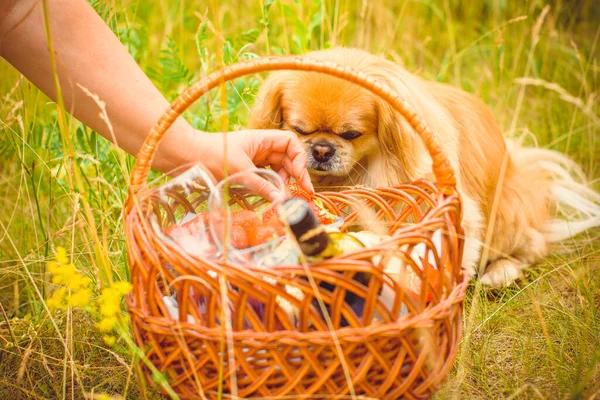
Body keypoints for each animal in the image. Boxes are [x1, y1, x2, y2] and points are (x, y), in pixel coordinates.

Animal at [251, 47, 600, 288]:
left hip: (508, 215)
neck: (360, 168)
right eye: (300, 130)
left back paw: (500, 273)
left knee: (532, 247)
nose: (322, 150)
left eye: (351, 134)